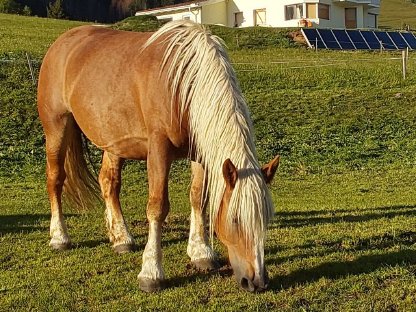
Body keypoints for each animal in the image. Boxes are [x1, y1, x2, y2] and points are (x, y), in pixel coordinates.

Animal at [38, 21, 280, 292]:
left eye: (266, 219)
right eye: (236, 220)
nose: (256, 281)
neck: (182, 83)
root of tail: (62, 42)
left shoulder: (199, 153)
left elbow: (198, 198)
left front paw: (201, 253)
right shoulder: (158, 149)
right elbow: (157, 207)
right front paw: (151, 273)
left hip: (113, 141)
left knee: (108, 183)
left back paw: (121, 238)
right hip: (56, 127)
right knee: (55, 179)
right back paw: (60, 237)